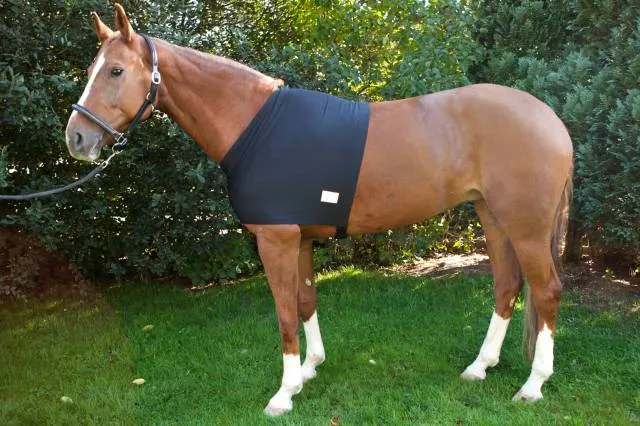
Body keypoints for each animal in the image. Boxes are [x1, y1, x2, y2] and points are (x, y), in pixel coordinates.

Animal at [64, 4, 573, 416]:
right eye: (92, 67)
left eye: (115, 71)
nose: (77, 138)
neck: (254, 125)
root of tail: (550, 119)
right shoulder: (302, 239)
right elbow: (307, 301)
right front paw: (310, 369)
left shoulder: (275, 238)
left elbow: (285, 312)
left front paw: (283, 394)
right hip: (493, 218)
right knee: (507, 287)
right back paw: (479, 367)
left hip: (526, 228)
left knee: (546, 290)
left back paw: (533, 385)